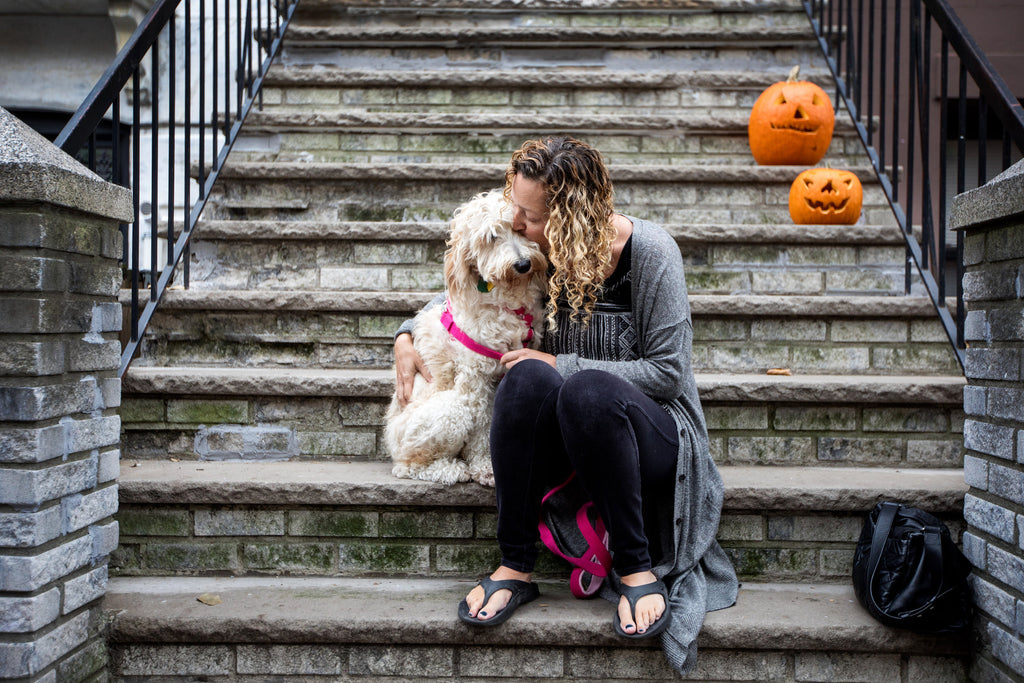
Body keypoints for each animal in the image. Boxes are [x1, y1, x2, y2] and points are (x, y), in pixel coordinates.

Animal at [385, 187, 548, 485]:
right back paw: (451, 469)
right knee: (407, 466)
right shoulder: (475, 379)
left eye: (520, 228)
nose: (523, 264)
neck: (508, 302)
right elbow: (482, 429)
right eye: (491, 237)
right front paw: (485, 467)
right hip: (447, 413)